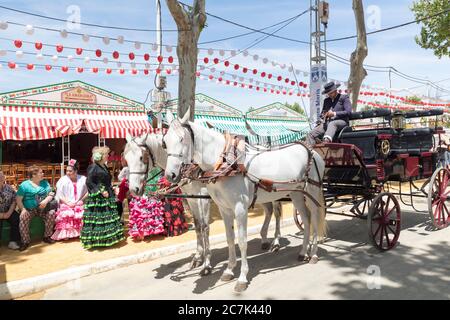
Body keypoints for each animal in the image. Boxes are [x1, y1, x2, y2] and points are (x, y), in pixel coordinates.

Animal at [122, 131, 284, 276]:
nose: (134, 190)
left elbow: (205, 227)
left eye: (142, 157)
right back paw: (264, 239)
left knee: (276, 212)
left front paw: (207, 264)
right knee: (268, 210)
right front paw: (197, 257)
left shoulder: (203, 198)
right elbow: (198, 226)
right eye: (125, 158)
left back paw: (276, 242)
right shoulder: (191, 199)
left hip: (274, 192)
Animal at [163, 110, 326, 292]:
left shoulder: (240, 208)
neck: (224, 164)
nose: (170, 175)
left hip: (312, 191)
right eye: (164, 142)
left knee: (315, 217)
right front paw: (228, 270)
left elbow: (241, 242)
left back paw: (313, 254)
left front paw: (242, 278)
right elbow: (230, 239)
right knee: (306, 218)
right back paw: (303, 252)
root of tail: (312, 151)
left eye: (182, 139)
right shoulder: (224, 209)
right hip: (296, 193)